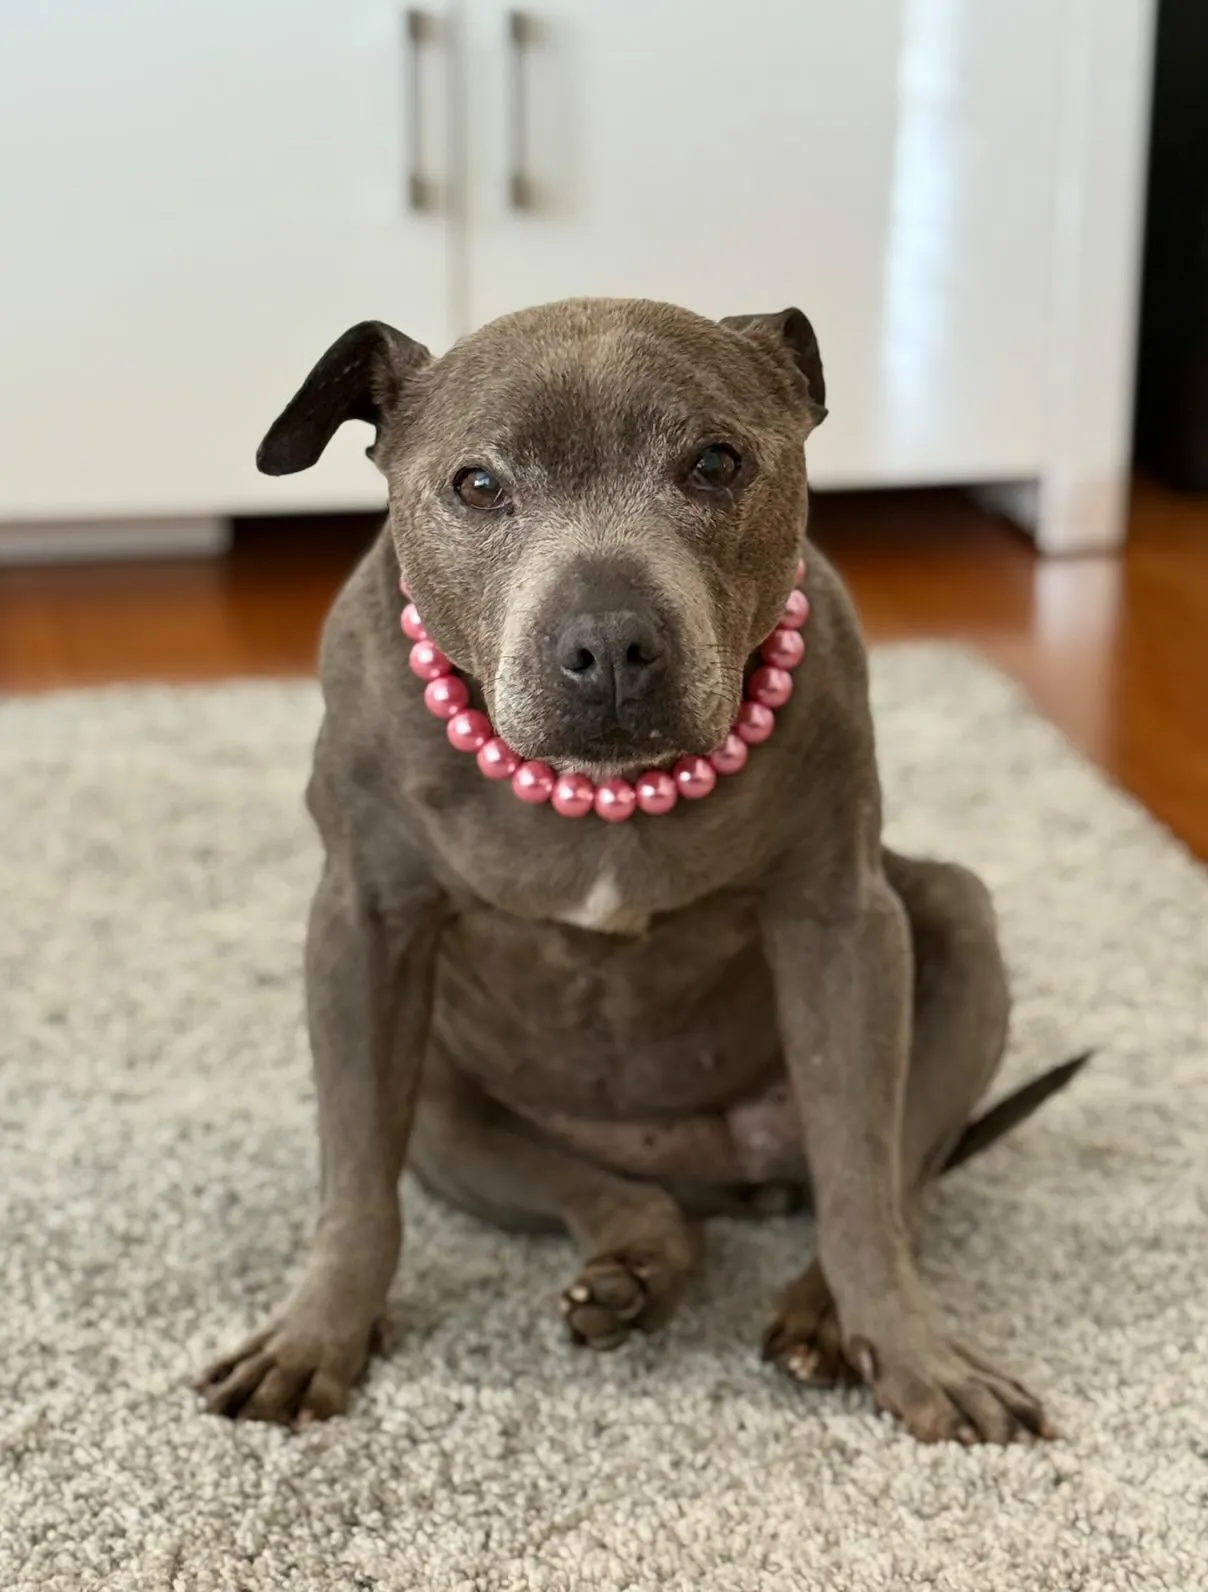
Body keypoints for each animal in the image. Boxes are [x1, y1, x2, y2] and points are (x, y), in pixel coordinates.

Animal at [198, 296, 1088, 1445]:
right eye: (477, 484)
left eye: (714, 462)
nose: (610, 642)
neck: (603, 795)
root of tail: (711, 1169)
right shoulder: (362, 930)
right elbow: (355, 1186)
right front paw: (317, 1337)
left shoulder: (841, 929)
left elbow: (859, 1179)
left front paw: (905, 1348)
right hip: (440, 1094)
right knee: (609, 1194)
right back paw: (632, 1268)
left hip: (950, 920)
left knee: (903, 1178)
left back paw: (818, 1310)